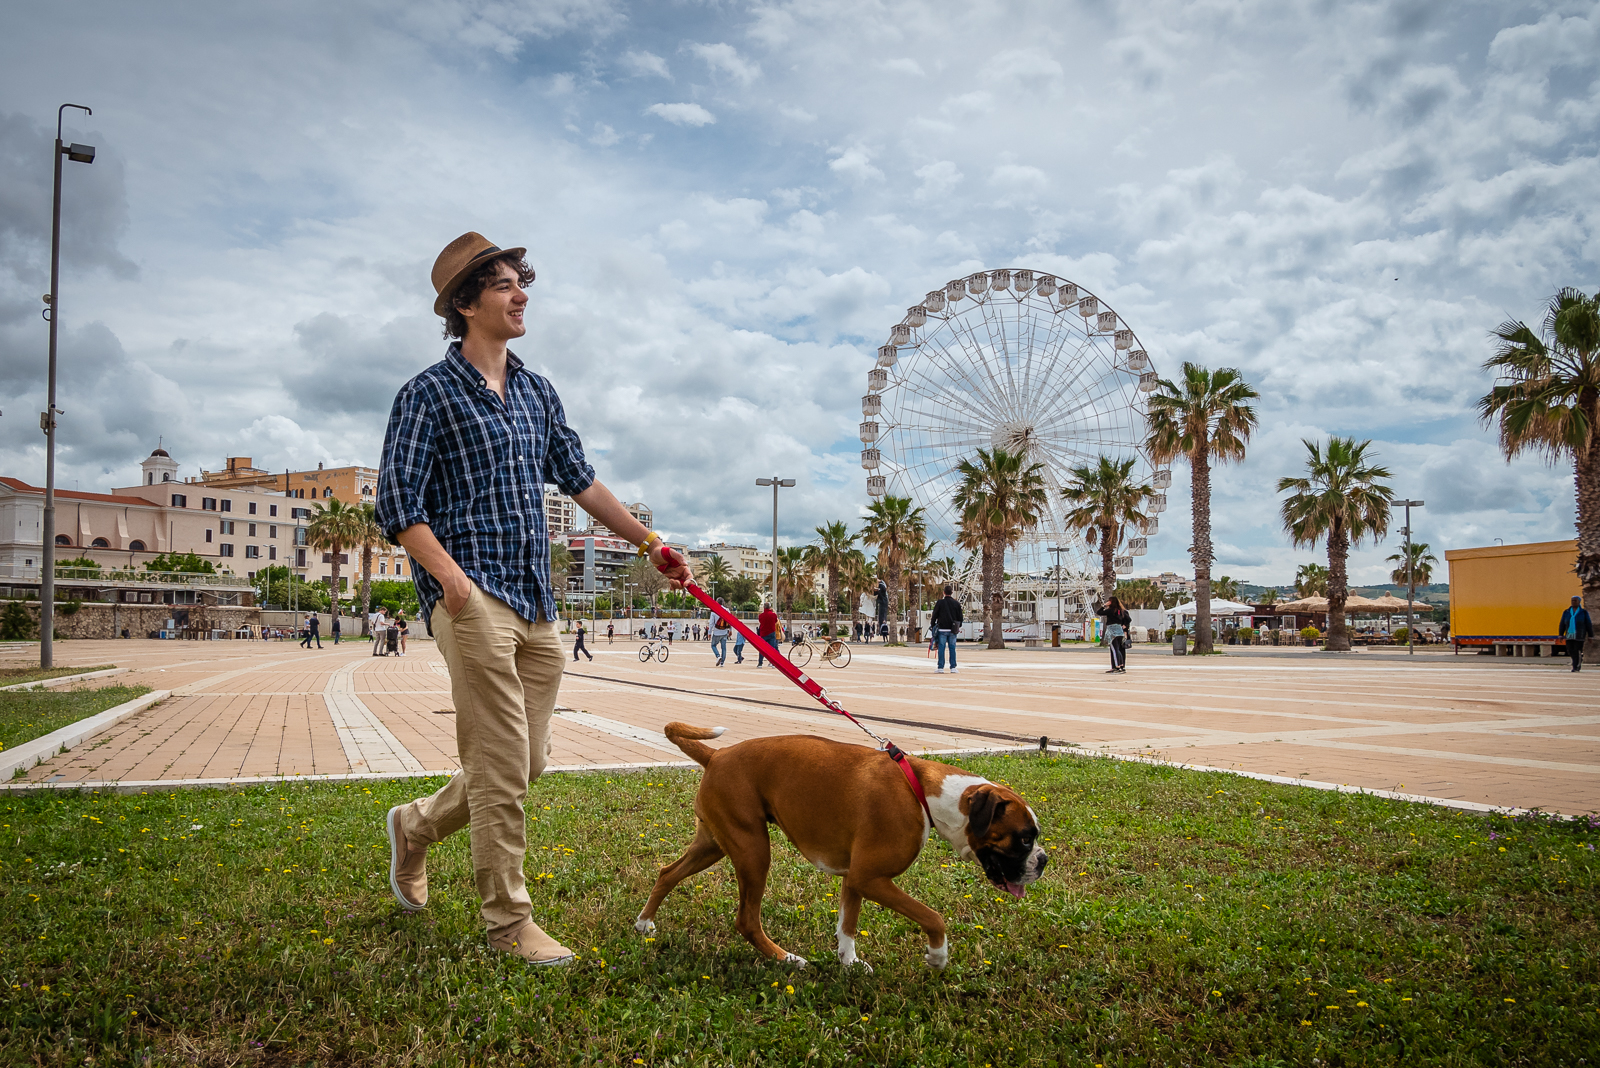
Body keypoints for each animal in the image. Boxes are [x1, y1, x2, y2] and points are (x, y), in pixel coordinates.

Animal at [636, 725, 1049, 965]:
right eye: (1025, 838)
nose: (1043, 861)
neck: (922, 792)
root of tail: (717, 754)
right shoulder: (871, 878)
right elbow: (932, 916)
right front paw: (937, 955)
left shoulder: (855, 879)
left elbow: (847, 925)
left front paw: (849, 963)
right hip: (753, 852)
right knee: (746, 920)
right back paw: (785, 959)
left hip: (714, 844)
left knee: (667, 873)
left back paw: (644, 923)